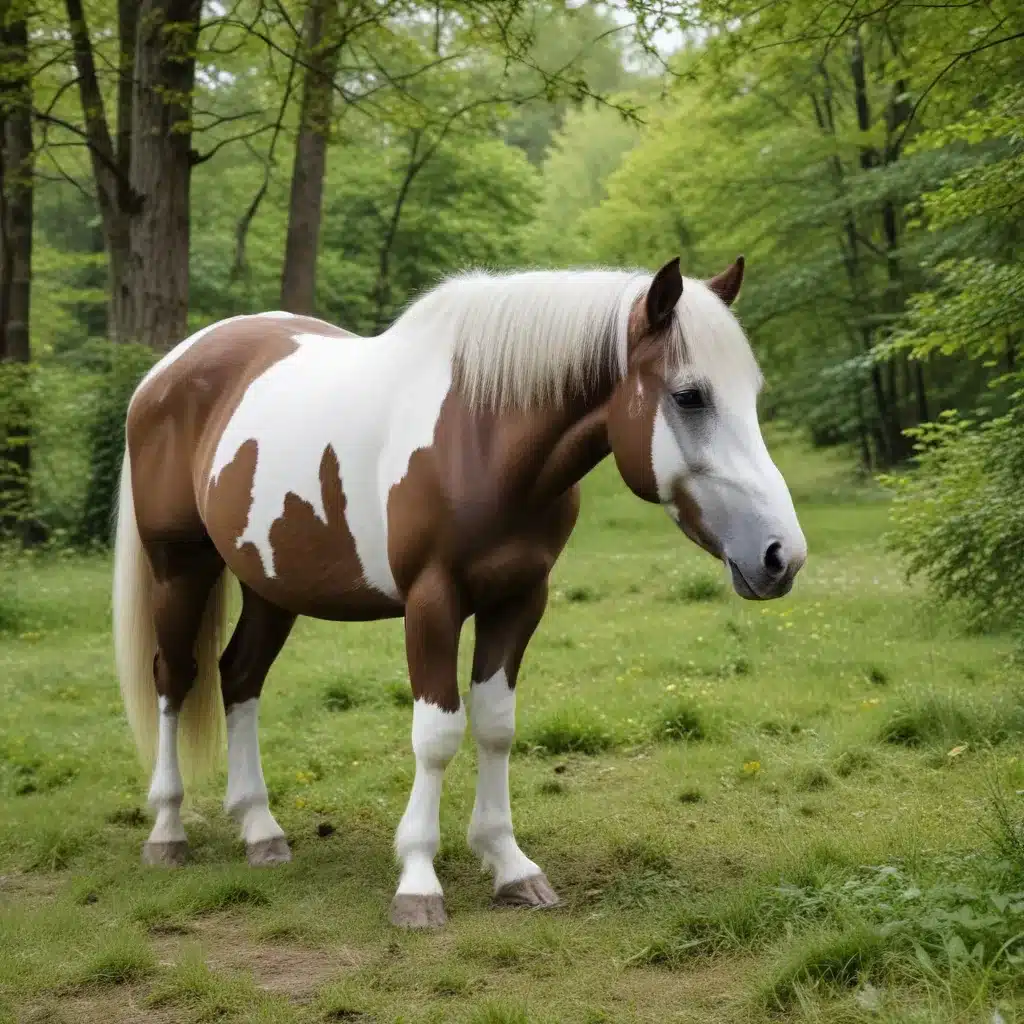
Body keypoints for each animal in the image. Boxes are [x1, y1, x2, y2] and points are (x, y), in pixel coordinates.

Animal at [110, 253, 798, 929]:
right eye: (689, 396)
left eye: (753, 393)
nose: (782, 556)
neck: (482, 434)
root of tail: (162, 375)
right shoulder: (431, 603)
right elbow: (437, 735)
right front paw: (418, 882)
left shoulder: (518, 600)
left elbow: (495, 725)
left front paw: (511, 866)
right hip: (180, 568)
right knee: (174, 677)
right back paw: (167, 830)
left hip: (270, 585)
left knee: (239, 677)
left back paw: (260, 829)